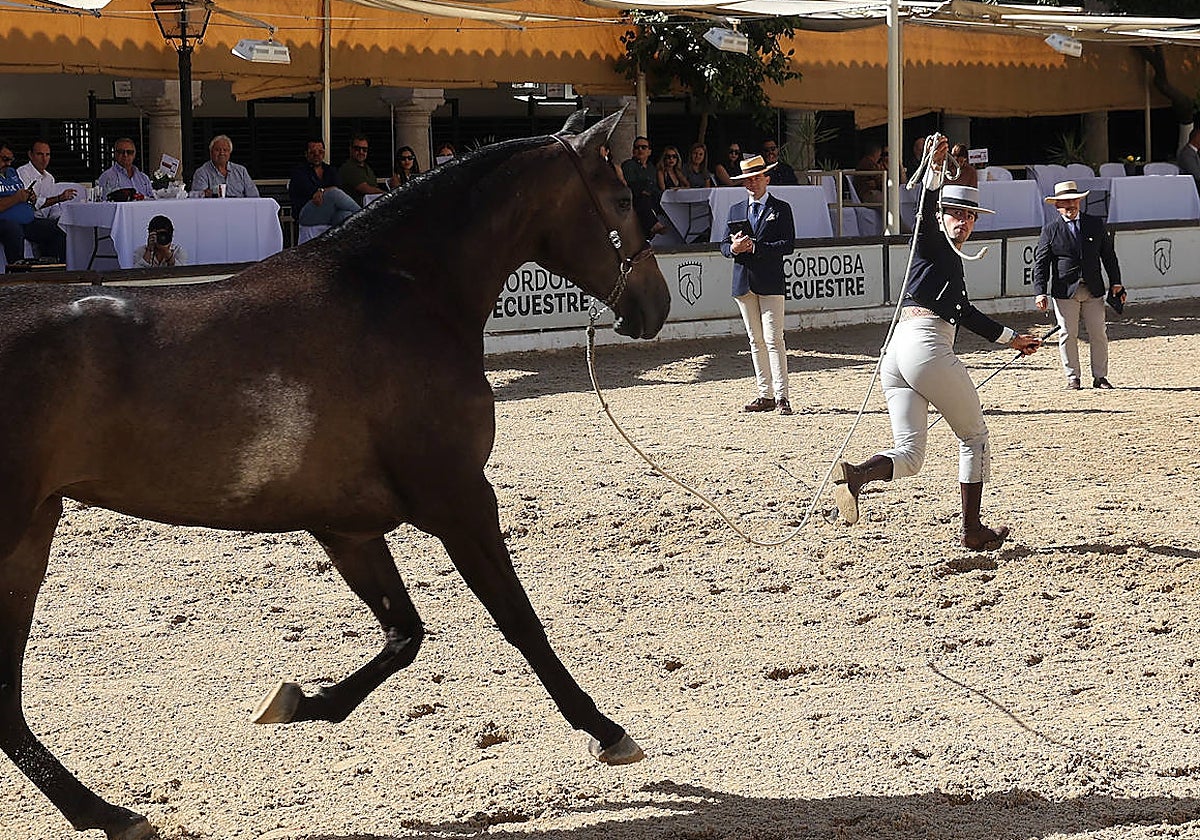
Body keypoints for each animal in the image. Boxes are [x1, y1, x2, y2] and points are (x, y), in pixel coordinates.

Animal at [0, 110, 670, 840]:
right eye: (624, 200)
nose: (656, 305)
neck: (404, 293)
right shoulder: (461, 501)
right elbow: (518, 621)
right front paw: (607, 731)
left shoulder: (347, 528)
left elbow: (404, 635)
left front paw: (294, 702)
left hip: (31, 536)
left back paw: (104, 812)